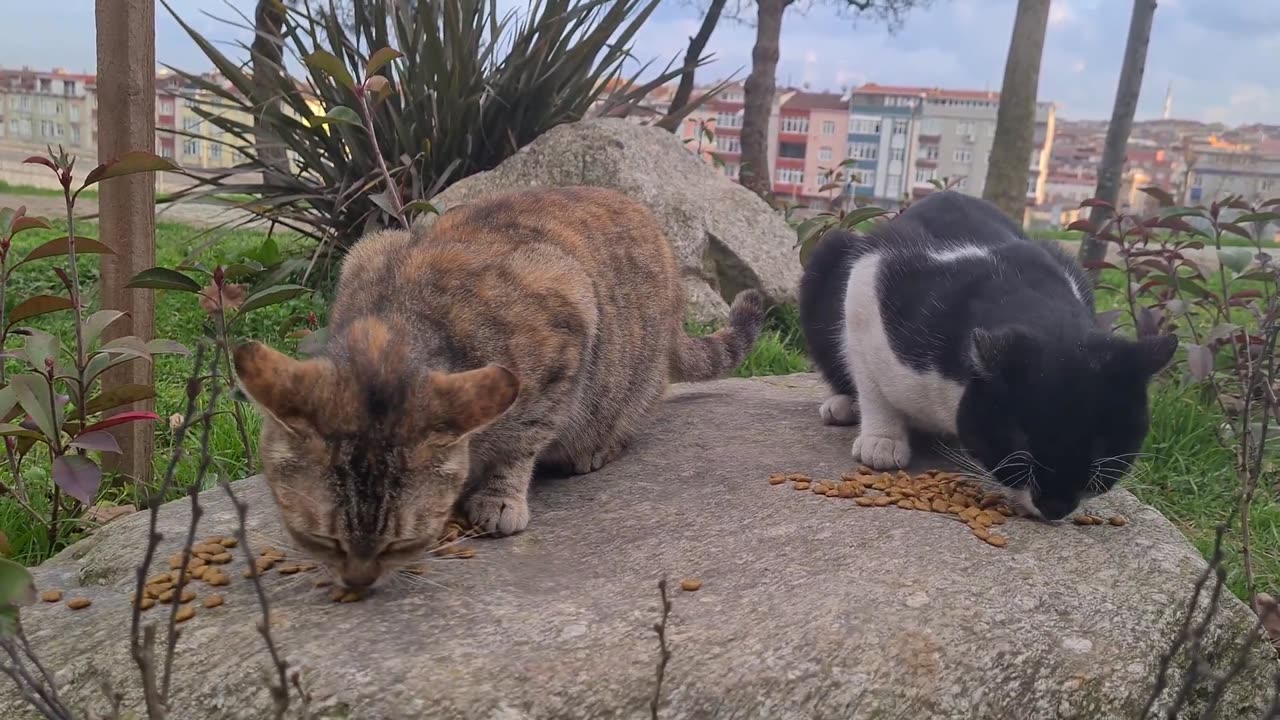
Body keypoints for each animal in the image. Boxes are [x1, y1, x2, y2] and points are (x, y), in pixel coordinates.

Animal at [803, 190, 1172, 515]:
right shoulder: (871, 280)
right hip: (829, 253)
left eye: (1101, 450)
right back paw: (843, 405)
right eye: (1022, 445)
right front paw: (882, 440)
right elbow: (871, 382)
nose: (1056, 508)